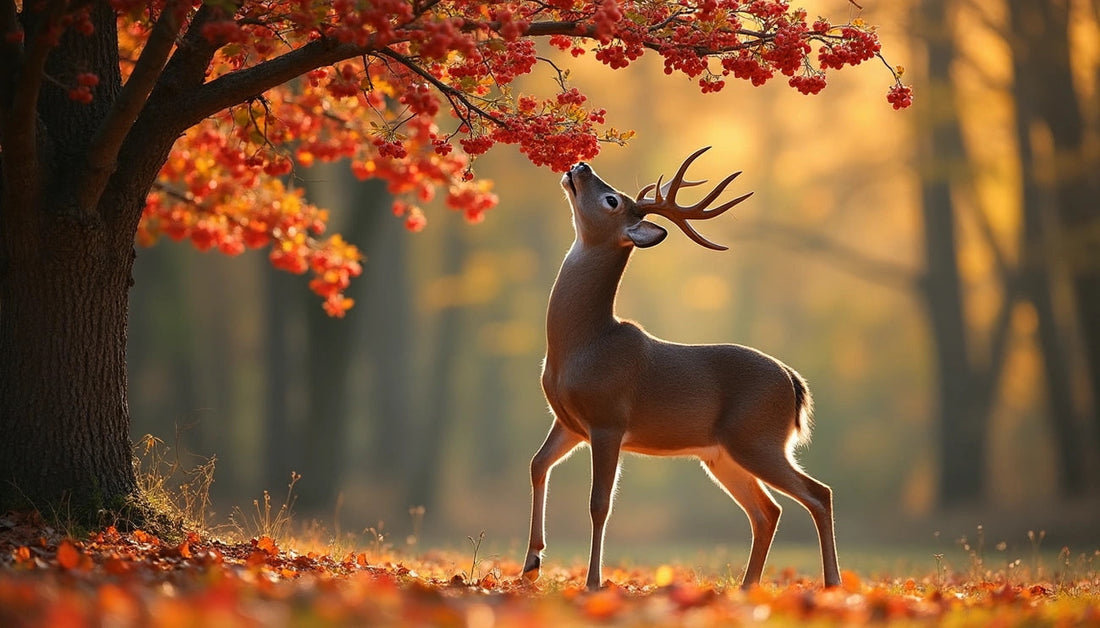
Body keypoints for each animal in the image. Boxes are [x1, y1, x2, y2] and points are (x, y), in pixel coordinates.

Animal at [521, 147, 841, 592]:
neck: (582, 344)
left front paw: (593, 581)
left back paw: (833, 584)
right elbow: (537, 464)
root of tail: (794, 382)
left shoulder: (608, 420)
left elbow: (599, 503)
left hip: (757, 438)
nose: (581, 166)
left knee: (817, 493)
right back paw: (747, 587)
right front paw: (531, 564)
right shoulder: (568, 422)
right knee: (767, 511)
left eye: (612, 200)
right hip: (722, 454)